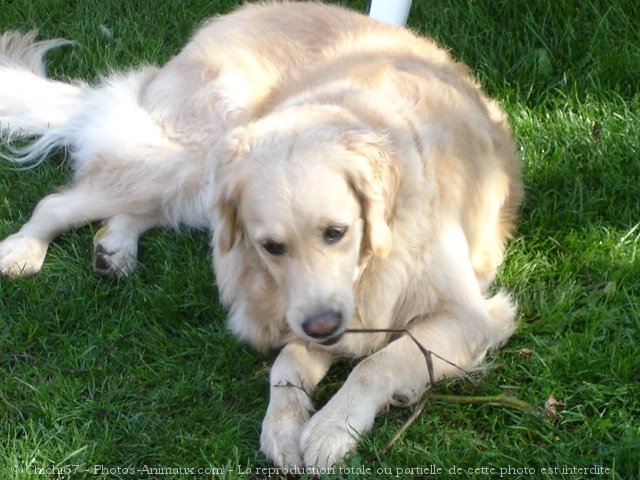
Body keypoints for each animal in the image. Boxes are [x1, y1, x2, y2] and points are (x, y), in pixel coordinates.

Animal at [0, 0, 520, 470]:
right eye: (272, 247)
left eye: (336, 232)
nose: (322, 326)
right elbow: (288, 362)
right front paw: (285, 427)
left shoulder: (467, 316)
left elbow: (377, 362)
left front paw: (330, 429)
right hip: (192, 158)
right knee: (61, 201)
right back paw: (24, 249)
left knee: (139, 208)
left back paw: (114, 246)